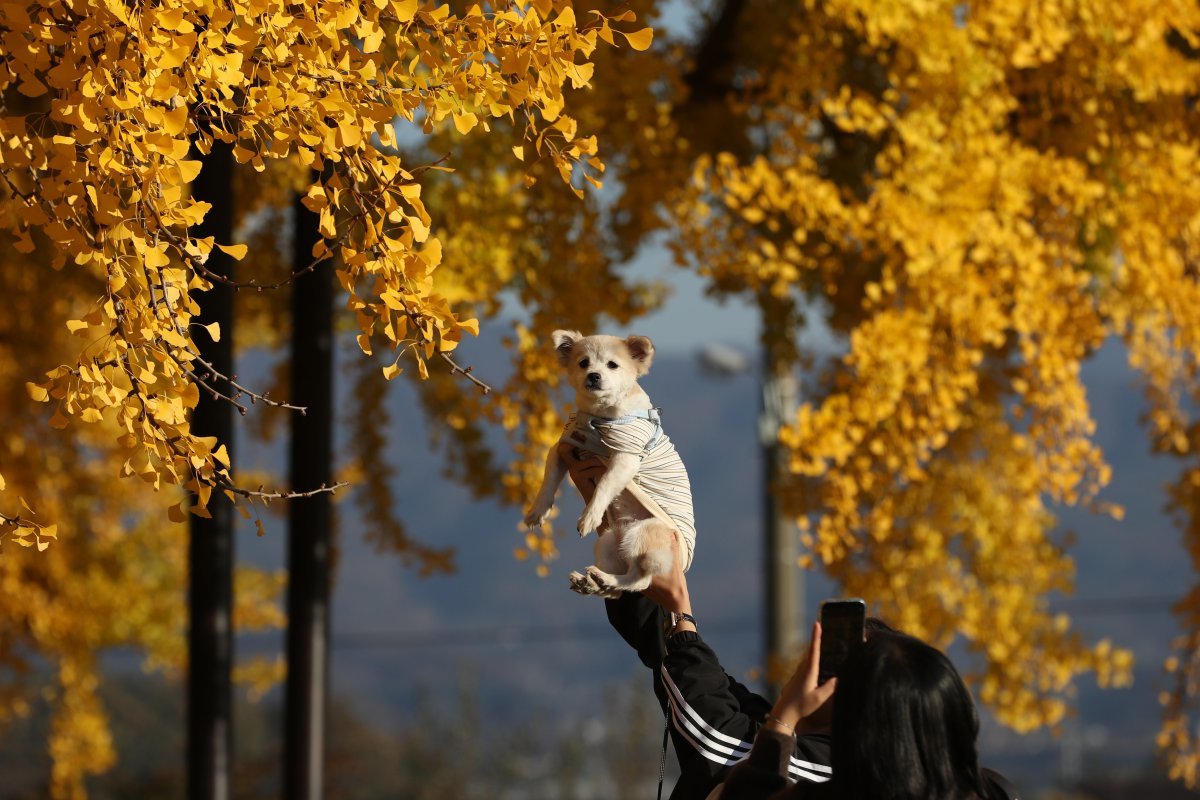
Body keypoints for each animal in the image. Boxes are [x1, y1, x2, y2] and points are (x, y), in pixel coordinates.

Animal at [523, 328, 700, 597]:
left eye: (612, 365)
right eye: (583, 363)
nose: (594, 375)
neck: (599, 417)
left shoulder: (625, 457)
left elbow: (604, 484)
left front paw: (589, 516)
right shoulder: (562, 447)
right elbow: (548, 480)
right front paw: (537, 511)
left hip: (645, 533)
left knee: (641, 580)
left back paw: (602, 579)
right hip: (607, 542)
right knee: (619, 587)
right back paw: (594, 582)